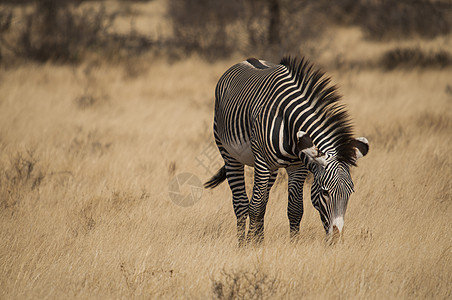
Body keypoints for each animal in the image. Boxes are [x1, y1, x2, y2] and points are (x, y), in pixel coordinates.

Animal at [204, 56, 368, 246]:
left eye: (350, 192)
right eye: (325, 192)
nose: (337, 240)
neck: (290, 125)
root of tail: (248, 60)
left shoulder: (298, 166)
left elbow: (295, 209)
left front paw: (293, 244)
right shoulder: (262, 162)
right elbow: (255, 207)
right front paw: (250, 246)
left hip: (272, 169)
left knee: (264, 200)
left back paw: (260, 240)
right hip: (229, 154)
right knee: (241, 203)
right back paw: (243, 243)